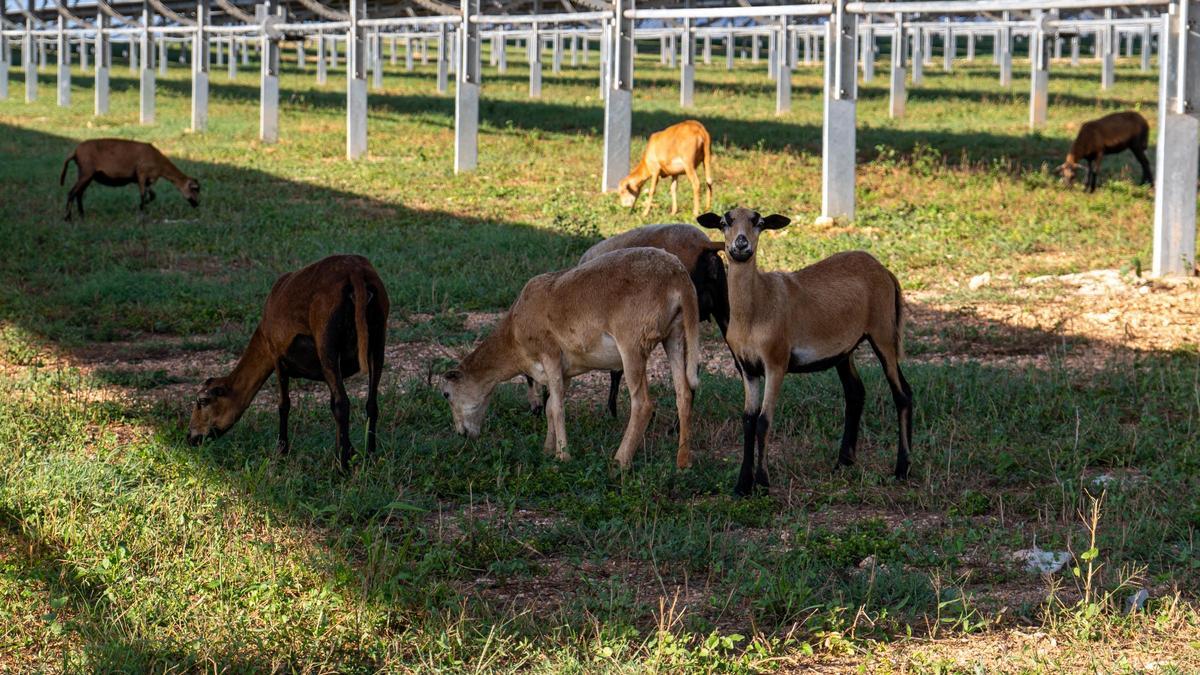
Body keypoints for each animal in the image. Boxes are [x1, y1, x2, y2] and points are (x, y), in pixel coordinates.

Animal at [59, 138, 200, 219]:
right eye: (195, 189)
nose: (197, 204)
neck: (161, 165)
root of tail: (75, 152)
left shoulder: (148, 180)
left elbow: (152, 196)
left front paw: (143, 206)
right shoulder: (141, 174)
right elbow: (143, 195)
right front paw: (141, 212)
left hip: (87, 175)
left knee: (79, 193)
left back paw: (82, 215)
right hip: (86, 172)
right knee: (72, 192)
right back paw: (67, 217)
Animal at [187, 254, 391, 470]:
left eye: (202, 401)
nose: (190, 437)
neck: (262, 336)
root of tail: (355, 272)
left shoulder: (277, 355)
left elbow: (283, 405)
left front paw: (281, 451)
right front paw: (349, 450)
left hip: (326, 339)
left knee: (341, 403)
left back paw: (342, 466)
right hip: (378, 336)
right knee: (371, 403)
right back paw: (370, 455)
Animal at [441, 247, 700, 468]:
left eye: (446, 394)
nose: (462, 434)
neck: (513, 340)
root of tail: (678, 276)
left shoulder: (550, 354)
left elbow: (557, 408)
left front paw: (562, 456)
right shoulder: (563, 371)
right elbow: (549, 407)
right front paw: (547, 449)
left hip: (632, 341)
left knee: (643, 404)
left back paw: (620, 461)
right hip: (674, 334)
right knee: (684, 394)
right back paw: (683, 461)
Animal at [696, 207, 907, 497]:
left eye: (759, 222)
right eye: (723, 221)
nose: (741, 244)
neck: (756, 308)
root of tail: (885, 271)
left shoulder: (776, 363)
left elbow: (763, 421)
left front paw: (763, 483)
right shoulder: (747, 368)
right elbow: (748, 421)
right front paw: (742, 486)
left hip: (884, 333)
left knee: (902, 394)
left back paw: (901, 470)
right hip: (845, 349)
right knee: (855, 392)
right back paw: (843, 462)